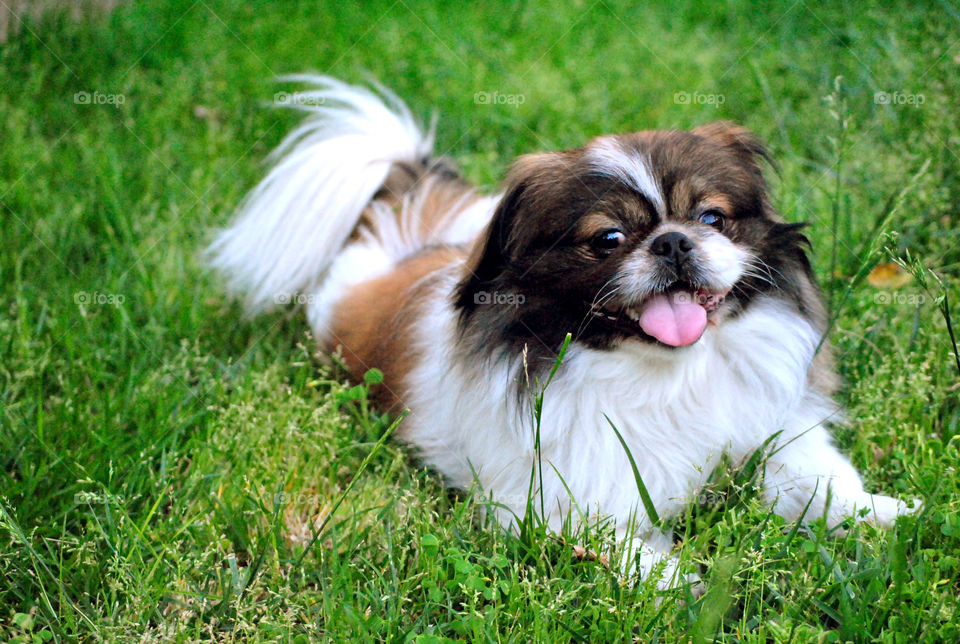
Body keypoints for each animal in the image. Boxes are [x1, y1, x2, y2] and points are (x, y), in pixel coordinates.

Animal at [208, 75, 916, 588]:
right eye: (608, 238)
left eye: (712, 217)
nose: (673, 241)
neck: (668, 373)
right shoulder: (561, 503)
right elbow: (636, 557)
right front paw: (688, 590)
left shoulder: (773, 434)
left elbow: (825, 482)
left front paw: (890, 515)